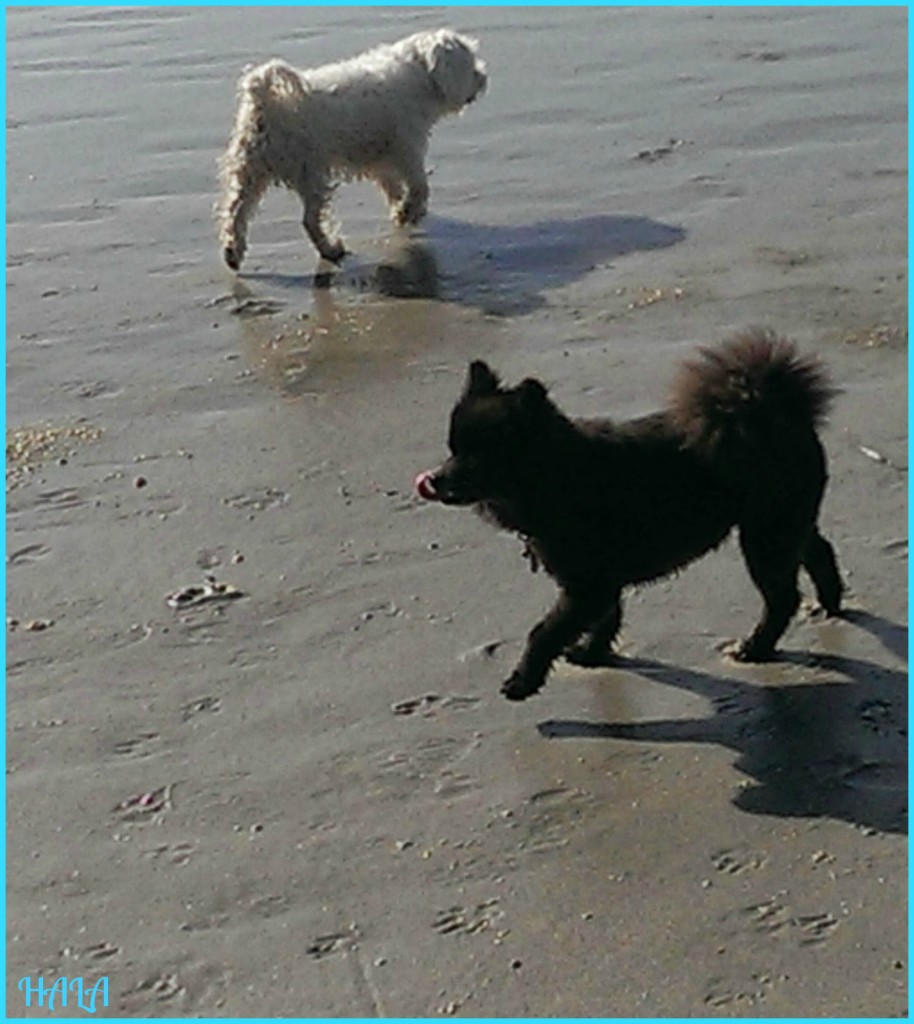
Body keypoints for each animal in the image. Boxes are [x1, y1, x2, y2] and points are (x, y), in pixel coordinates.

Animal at [213, 29, 485, 268]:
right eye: (470, 64)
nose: (484, 77)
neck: (418, 72)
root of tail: (264, 98)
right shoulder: (407, 149)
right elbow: (419, 186)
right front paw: (408, 211)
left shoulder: (381, 158)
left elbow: (392, 185)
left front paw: (400, 209)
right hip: (310, 173)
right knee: (309, 221)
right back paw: (331, 250)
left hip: (249, 170)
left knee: (234, 213)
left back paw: (232, 253)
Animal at [413, 331, 843, 700]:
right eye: (453, 449)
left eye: (477, 456)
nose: (434, 479)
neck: (560, 474)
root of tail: (772, 410)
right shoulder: (602, 582)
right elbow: (606, 618)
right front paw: (592, 653)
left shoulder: (588, 586)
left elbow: (544, 632)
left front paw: (523, 680)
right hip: (785, 523)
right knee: (819, 549)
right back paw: (831, 602)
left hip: (765, 535)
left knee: (782, 597)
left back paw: (756, 647)